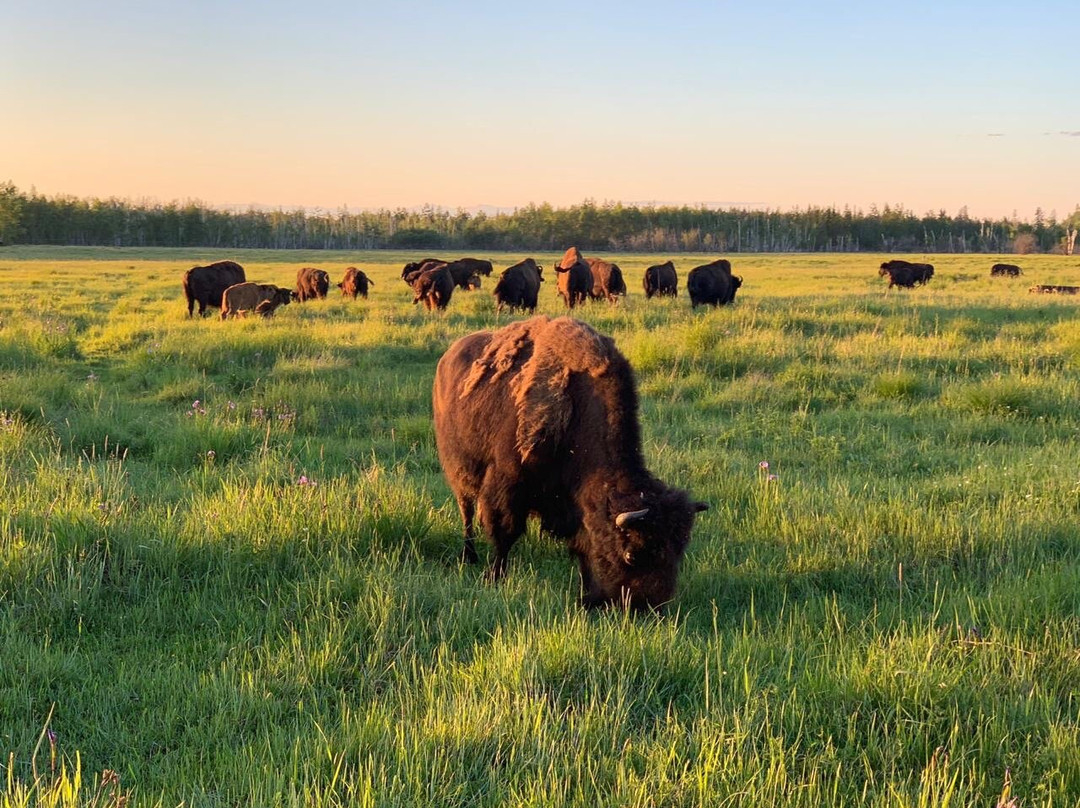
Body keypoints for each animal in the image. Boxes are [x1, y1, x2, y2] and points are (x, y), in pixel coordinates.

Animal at [429, 315, 708, 613]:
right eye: (631, 555)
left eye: (678, 552)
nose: (647, 608)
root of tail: (447, 356)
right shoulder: (507, 485)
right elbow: (504, 533)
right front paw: (495, 578)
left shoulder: (574, 507)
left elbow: (582, 547)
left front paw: (584, 593)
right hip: (460, 474)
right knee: (467, 513)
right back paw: (468, 556)